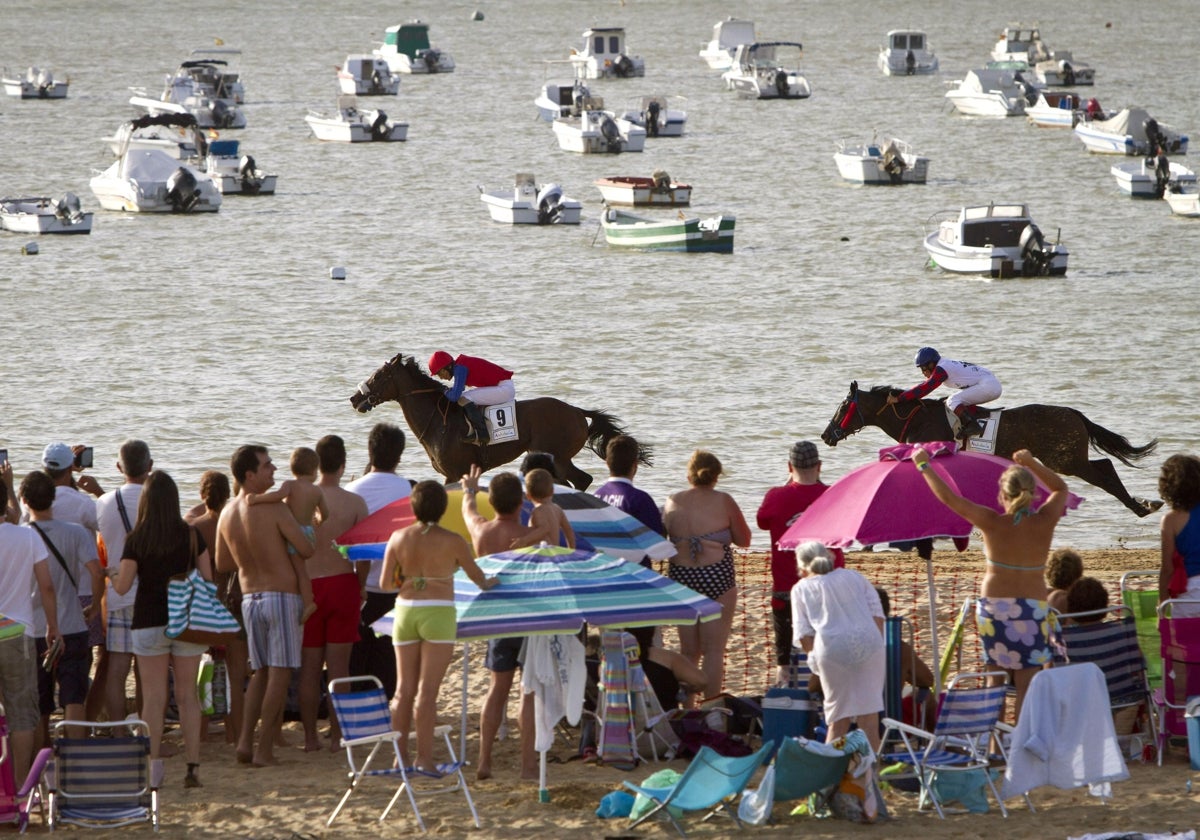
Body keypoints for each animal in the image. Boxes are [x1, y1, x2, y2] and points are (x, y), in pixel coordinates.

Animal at [348, 350, 648, 489]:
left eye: (378, 376)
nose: (353, 398)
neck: (439, 423)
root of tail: (576, 411)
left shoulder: (454, 473)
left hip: (556, 457)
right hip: (562, 458)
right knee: (583, 480)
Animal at [820, 381, 1156, 516]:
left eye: (842, 408)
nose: (826, 435)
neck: (916, 417)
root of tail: (1073, 413)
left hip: (1065, 458)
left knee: (1105, 469)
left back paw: (1141, 507)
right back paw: (1143, 505)